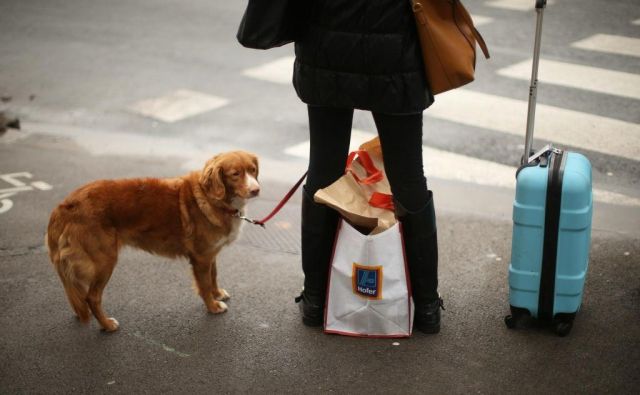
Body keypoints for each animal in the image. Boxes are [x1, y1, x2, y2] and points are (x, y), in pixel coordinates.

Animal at [45, 151, 260, 332]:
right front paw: (213, 306)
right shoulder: (201, 257)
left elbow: (213, 276)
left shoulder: (210, 254)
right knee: (92, 297)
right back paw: (107, 325)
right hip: (104, 261)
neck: (212, 199)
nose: (256, 190)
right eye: (235, 174)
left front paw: (217, 294)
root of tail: (63, 207)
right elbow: (205, 285)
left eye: (253, 170)